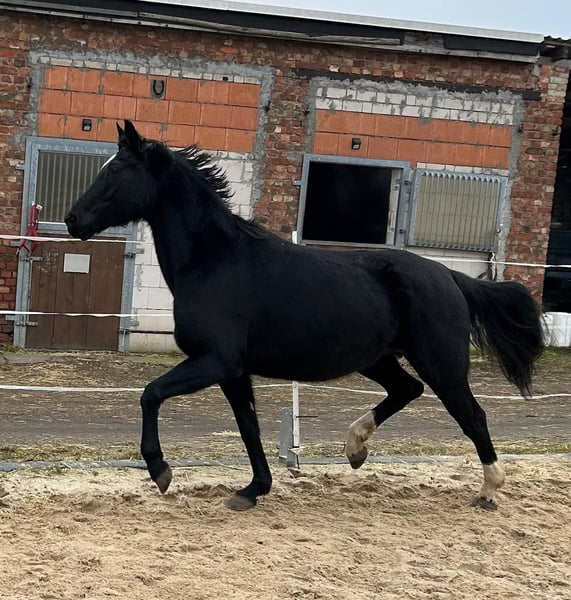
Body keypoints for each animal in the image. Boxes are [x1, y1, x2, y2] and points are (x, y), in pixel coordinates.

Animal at [65, 120, 544, 511]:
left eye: (114, 171)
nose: (73, 219)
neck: (214, 261)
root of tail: (448, 275)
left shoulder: (215, 361)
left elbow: (151, 394)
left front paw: (160, 470)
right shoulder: (233, 371)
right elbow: (249, 427)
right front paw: (253, 490)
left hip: (441, 363)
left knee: (472, 416)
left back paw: (488, 491)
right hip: (378, 359)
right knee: (407, 389)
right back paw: (355, 448)